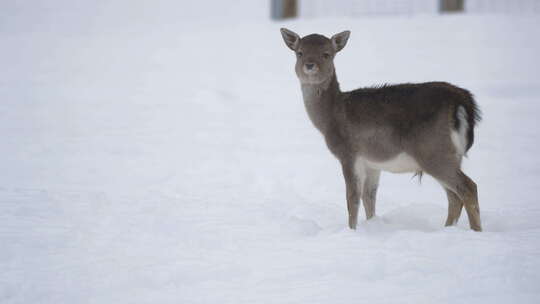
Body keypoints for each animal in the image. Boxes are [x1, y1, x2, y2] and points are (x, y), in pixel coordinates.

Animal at [280, 29, 484, 233]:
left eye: (326, 54)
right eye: (299, 52)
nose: (309, 65)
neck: (330, 118)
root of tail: (461, 100)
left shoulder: (348, 153)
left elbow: (352, 198)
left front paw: (352, 230)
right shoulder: (372, 163)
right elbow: (369, 197)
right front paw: (372, 224)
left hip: (433, 151)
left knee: (468, 187)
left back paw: (475, 231)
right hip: (451, 155)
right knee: (454, 196)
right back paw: (448, 228)